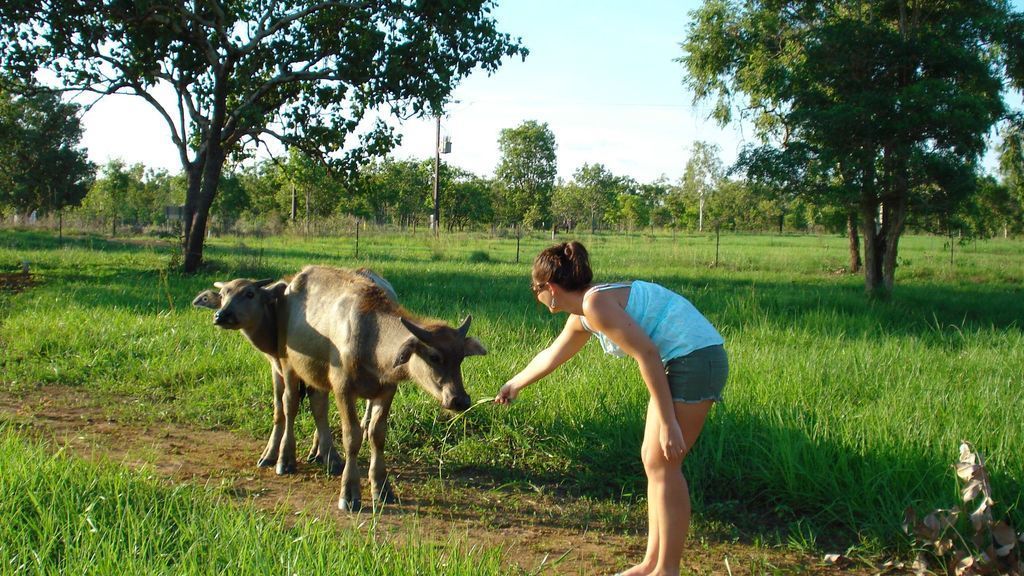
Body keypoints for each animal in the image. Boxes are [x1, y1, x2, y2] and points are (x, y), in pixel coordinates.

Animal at [276, 262, 487, 508]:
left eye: (461, 357)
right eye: (434, 357)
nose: (460, 400)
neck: (372, 341)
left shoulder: (386, 391)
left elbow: (377, 434)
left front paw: (381, 487)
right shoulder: (343, 389)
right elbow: (352, 437)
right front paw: (349, 492)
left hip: (316, 376)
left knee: (319, 407)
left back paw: (325, 456)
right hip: (288, 363)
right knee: (290, 405)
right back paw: (284, 459)